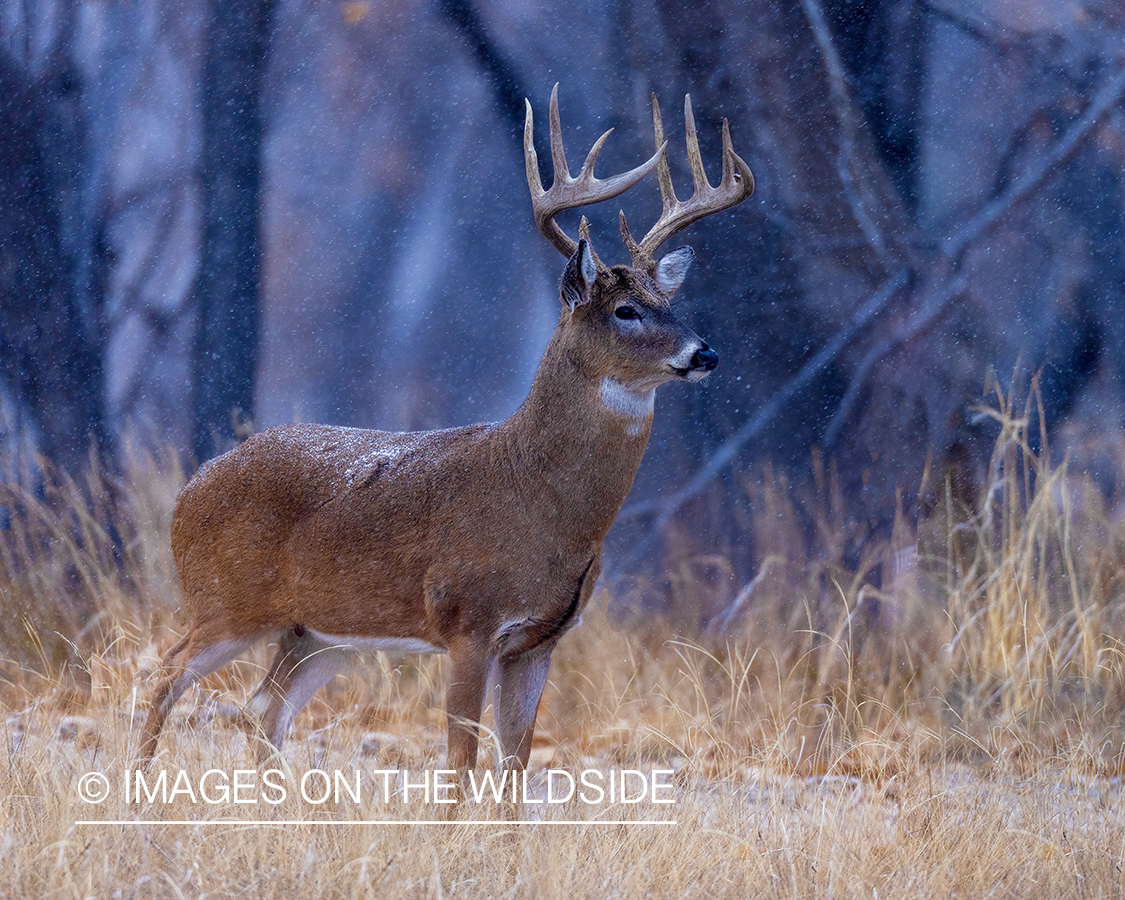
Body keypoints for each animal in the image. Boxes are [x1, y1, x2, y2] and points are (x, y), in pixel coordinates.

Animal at [142, 87, 756, 783]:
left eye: (670, 302)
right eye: (626, 310)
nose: (704, 353)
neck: (538, 498)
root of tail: (190, 489)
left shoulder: (539, 640)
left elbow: (514, 766)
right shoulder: (467, 621)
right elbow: (461, 761)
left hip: (318, 632)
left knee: (263, 707)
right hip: (225, 601)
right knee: (164, 675)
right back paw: (138, 788)